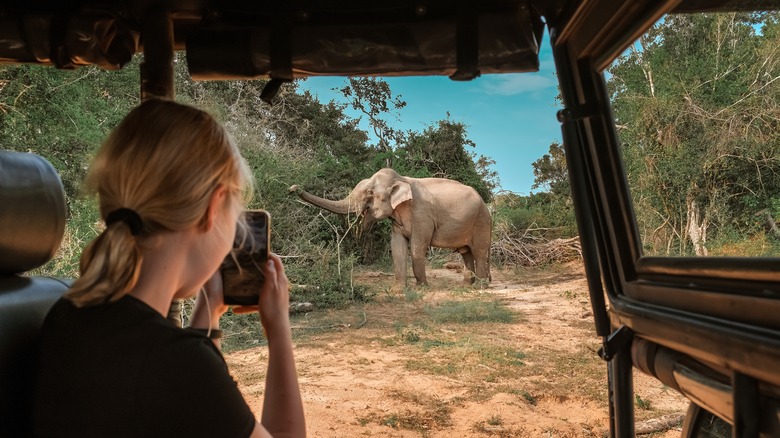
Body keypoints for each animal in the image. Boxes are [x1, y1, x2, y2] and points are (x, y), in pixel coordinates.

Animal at [290, 169, 490, 290]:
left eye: (369, 193)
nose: (293, 187)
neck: (402, 178)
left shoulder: (422, 215)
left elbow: (417, 247)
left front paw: (421, 287)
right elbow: (397, 246)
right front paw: (399, 289)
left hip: (481, 222)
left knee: (478, 252)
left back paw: (480, 287)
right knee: (467, 253)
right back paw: (468, 285)